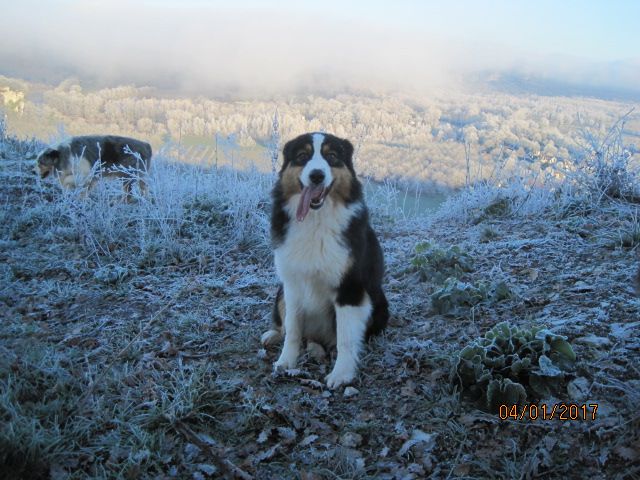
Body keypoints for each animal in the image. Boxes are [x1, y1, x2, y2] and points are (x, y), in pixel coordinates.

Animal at [262, 132, 390, 390]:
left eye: (331, 157)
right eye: (302, 156)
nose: (317, 175)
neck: (315, 219)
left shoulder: (350, 288)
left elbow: (346, 339)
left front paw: (342, 374)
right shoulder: (292, 283)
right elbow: (292, 328)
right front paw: (286, 361)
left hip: (378, 302)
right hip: (280, 292)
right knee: (289, 327)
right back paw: (274, 335)